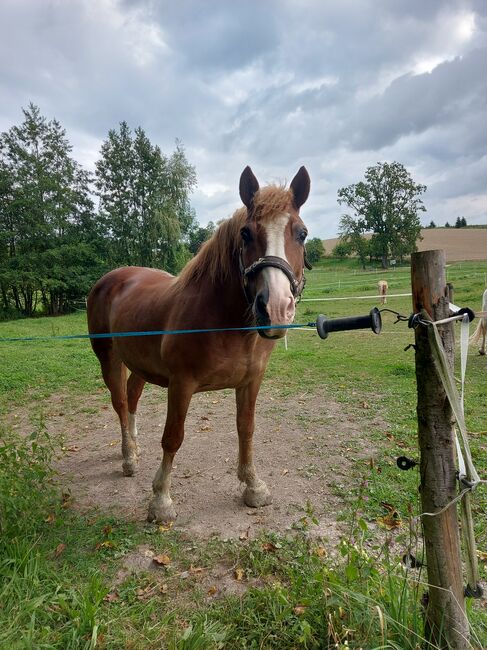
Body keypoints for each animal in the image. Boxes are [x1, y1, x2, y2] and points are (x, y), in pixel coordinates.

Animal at [87, 167, 310, 520]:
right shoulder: (181, 384)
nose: (275, 309)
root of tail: (111, 278)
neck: (224, 320)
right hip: (108, 358)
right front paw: (161, 501)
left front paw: (254, 486)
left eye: (301, 234)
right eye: (246, 234)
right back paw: (128, 457)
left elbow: (246, 429)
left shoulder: (251, 381)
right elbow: (172, 438)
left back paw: (134, 445)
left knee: (132, 397)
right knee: (120, 403)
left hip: (140, 364)